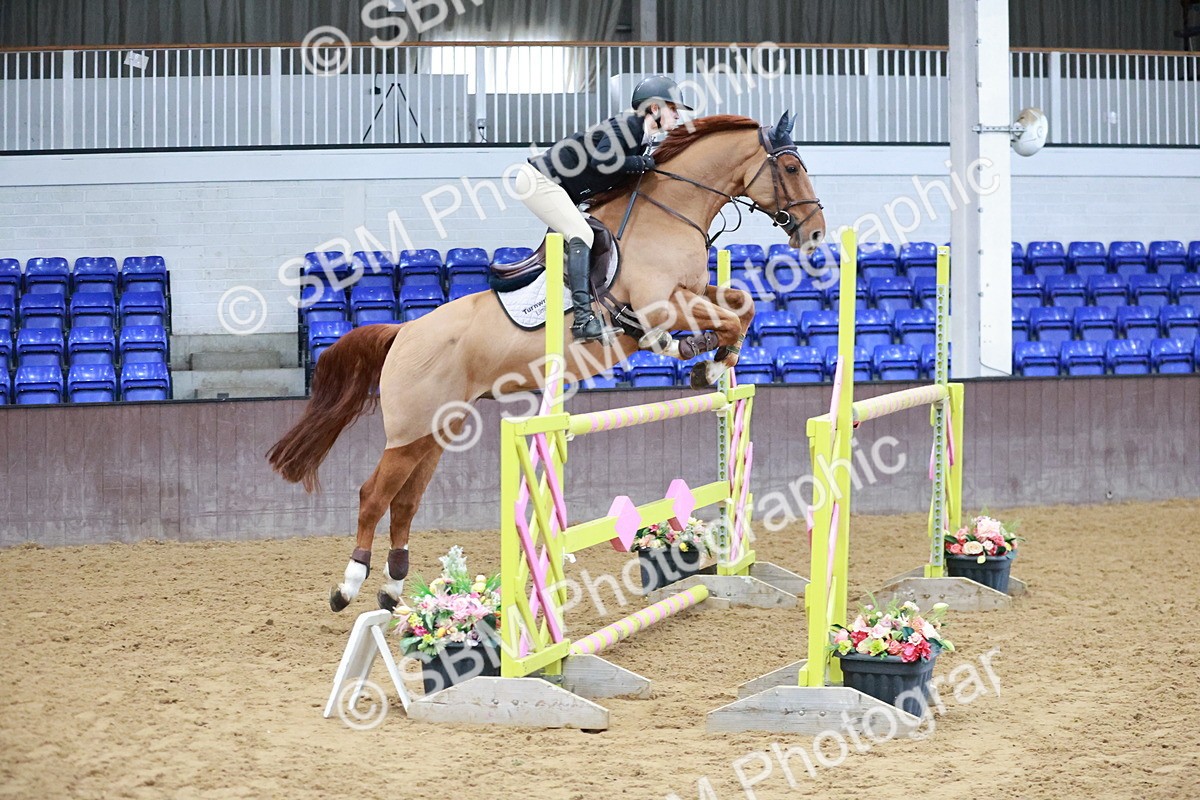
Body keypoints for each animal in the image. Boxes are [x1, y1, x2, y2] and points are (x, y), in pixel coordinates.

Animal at [267, 112, 826, 612]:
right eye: (791, 166)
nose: (817, 235)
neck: (670, 212)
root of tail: (403, 331)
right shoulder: (659, 303)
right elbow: (720, 317)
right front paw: (695, 356)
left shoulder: (691, 291)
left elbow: (741, 305)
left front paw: (712, 362)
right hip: (408, 432)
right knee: (372, 495)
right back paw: (348, 587)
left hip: (436, 431)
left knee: (403, 501)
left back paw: (392, 588)